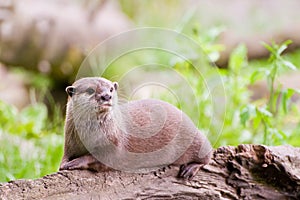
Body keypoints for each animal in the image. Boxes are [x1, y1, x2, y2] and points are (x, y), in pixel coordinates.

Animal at [59, 77, 212, 180]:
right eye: (90, 90)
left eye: (111, 89)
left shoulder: (114, 144)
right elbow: (66, 155)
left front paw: (76, 162)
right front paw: (64, 163)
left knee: (207, 154)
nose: (107, 96)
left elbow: (96, 159)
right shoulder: (69, 143)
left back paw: (190, 168)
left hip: (193, 138)